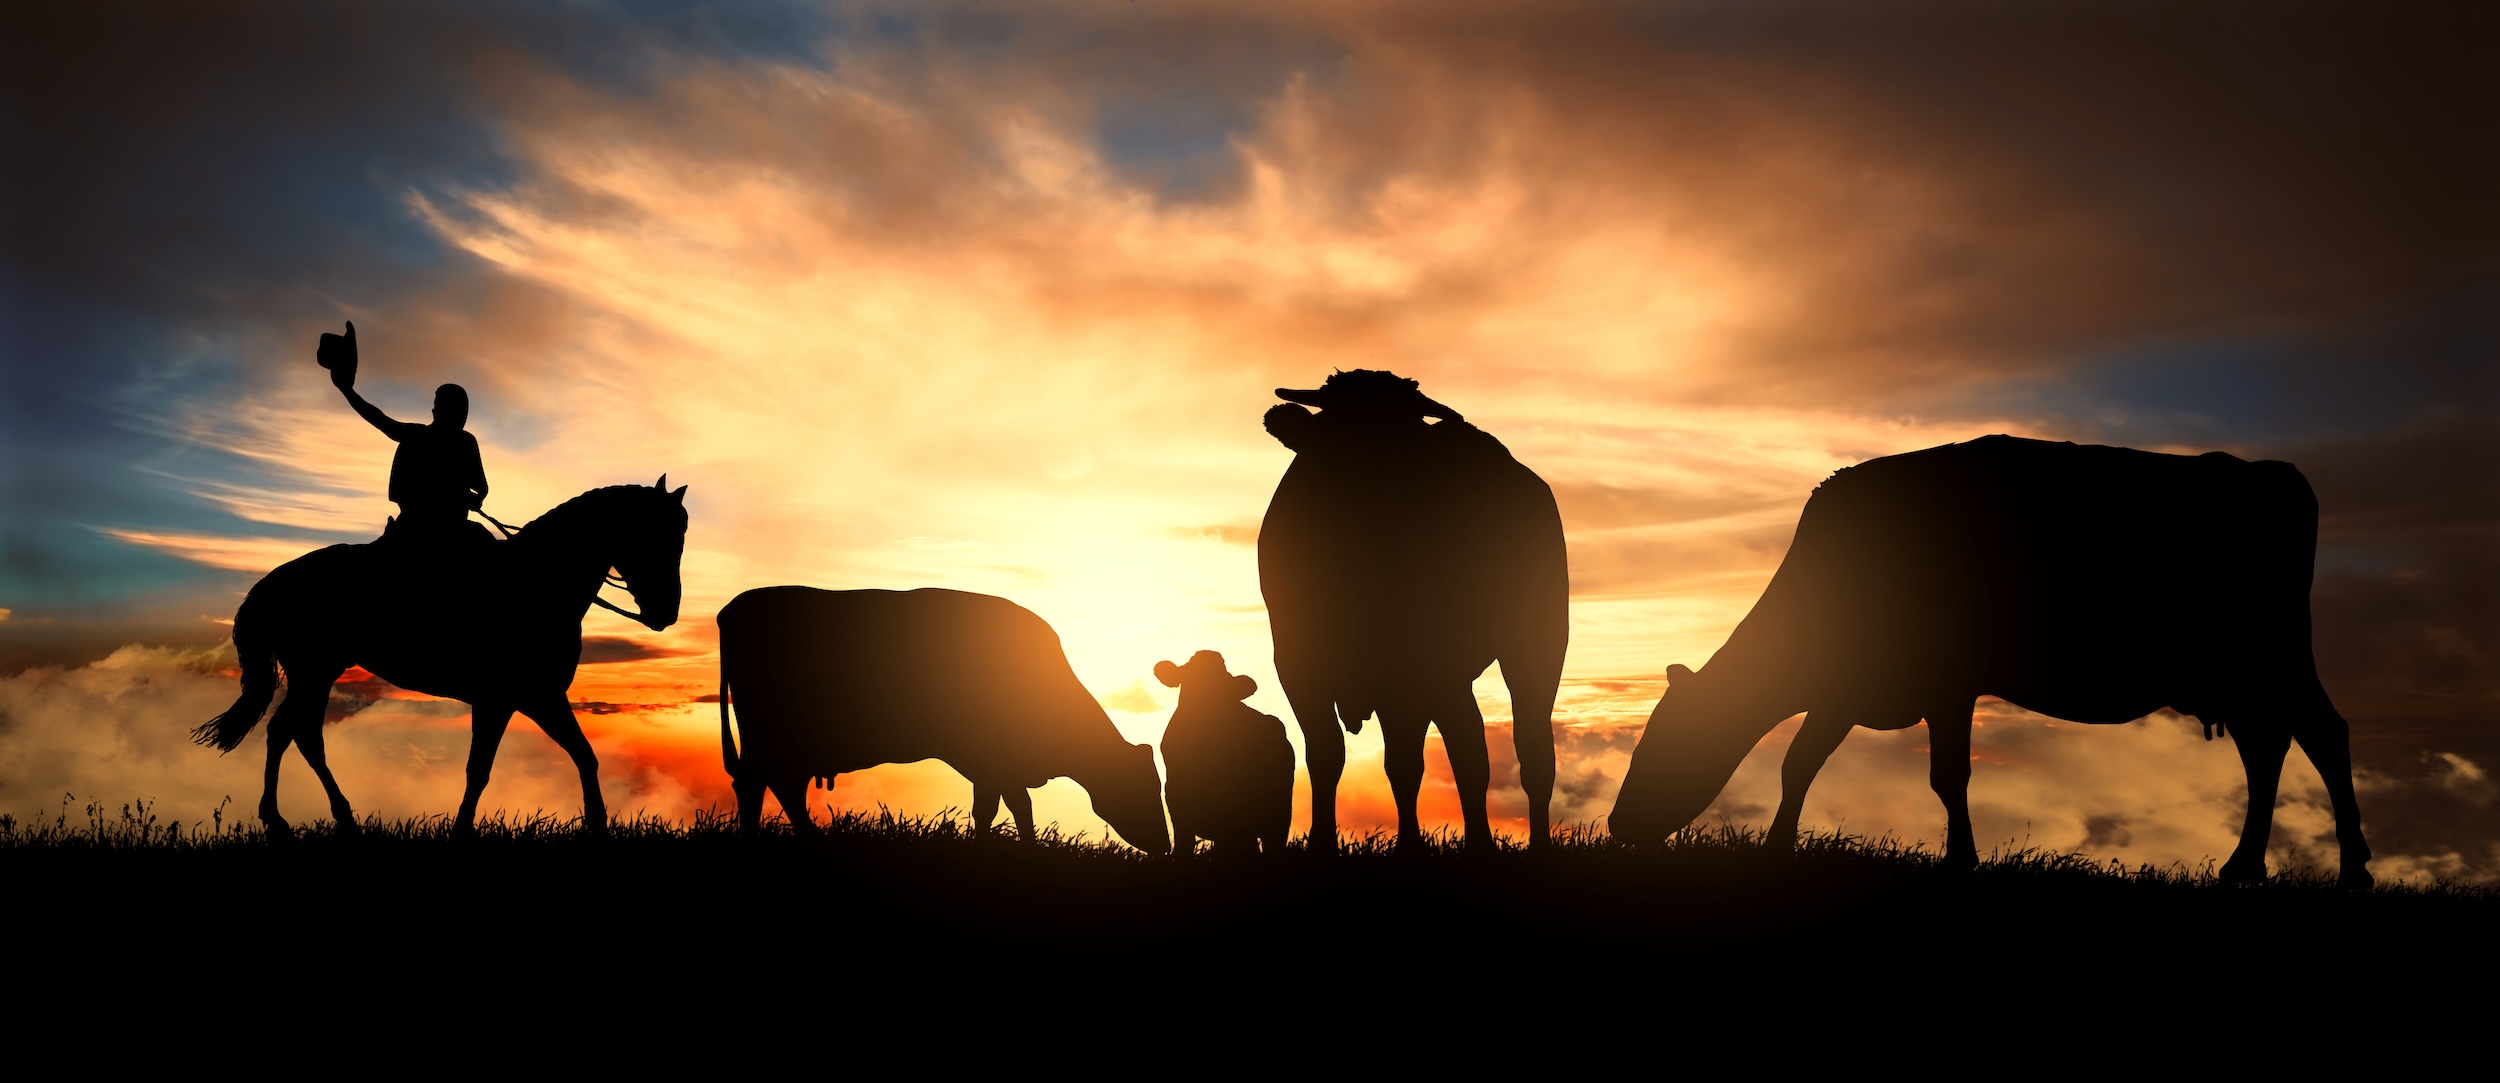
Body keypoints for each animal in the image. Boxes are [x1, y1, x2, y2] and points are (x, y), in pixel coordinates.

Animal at [193, 476, 689, 838]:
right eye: (656, 536)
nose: (666, 612)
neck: (539, 582)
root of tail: (276, 579)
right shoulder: (508, 699)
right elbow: (480, 769)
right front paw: (461, 830)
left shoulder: (538, 697)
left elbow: (583, 756)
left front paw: (597, 823)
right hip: (312, 671)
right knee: (295, 734)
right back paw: (293, 819)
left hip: (318, 672)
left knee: (292, 733)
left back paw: (321, 818)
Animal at [716, 586, 1171, 854]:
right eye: (1145, 788)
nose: (1166, 847)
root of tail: (732, 608)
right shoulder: (992, 760)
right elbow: (1012, 805)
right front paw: (1022, 851)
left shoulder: (991, 766)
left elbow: (993, 807)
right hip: (772, 737)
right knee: (763, 784)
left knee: (771, 785)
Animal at [1607, 435, 2372, 889]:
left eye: (1661, 742)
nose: (1616, 828)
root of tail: (2278, 474)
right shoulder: (1850, 691)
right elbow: (1801, 760)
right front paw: (1775, 849)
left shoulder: (1948, 684)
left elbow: (1948, 775)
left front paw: (1961, 861)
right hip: (2237, 676)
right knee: (2271, 747)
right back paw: (2248, 867)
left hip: (2272, 653)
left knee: (2321, 735)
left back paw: (2349, 870)